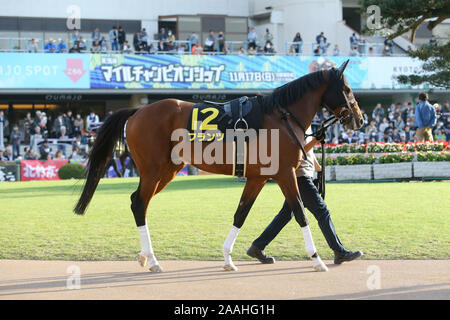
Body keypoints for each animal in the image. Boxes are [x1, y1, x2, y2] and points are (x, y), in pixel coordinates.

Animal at [74, 59, 362, 272]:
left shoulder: (257, 177)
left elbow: (241, 214)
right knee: (139, 203)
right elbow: (301, 212)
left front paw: (227, 258)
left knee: (139, 202)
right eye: (347, 89)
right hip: (154, 170)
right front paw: (317, 259)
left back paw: (145, 256)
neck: (280, 117)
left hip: (167, 170)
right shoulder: (285, 174)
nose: (359, 119)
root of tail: (137, 111)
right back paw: (153, 260)